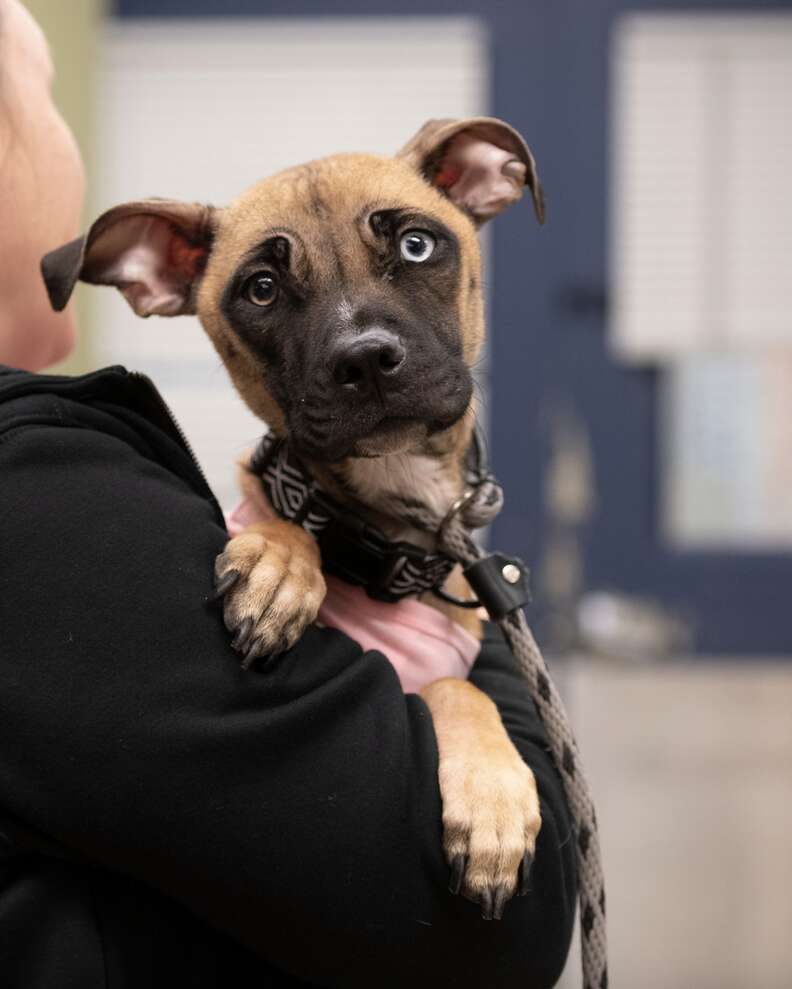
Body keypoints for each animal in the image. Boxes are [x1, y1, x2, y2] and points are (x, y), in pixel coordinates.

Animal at [44, 119, 544, 924]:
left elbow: (457, 687)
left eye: (416, 246)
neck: (380, 534)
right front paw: (279, 567)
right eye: (263, 289)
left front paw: (493, 796)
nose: (365, 359)